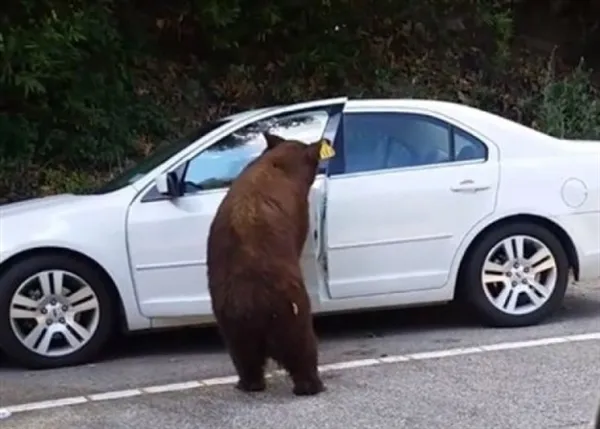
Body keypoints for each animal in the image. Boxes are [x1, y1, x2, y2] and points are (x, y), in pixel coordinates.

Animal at [206, 130, 332, 394]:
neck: (279, 163)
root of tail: (250, 301)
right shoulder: (299, 210)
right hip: (289, 307)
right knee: (301, 344)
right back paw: (311, 384)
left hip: (229, 321)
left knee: (244, 356)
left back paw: (249, 383)